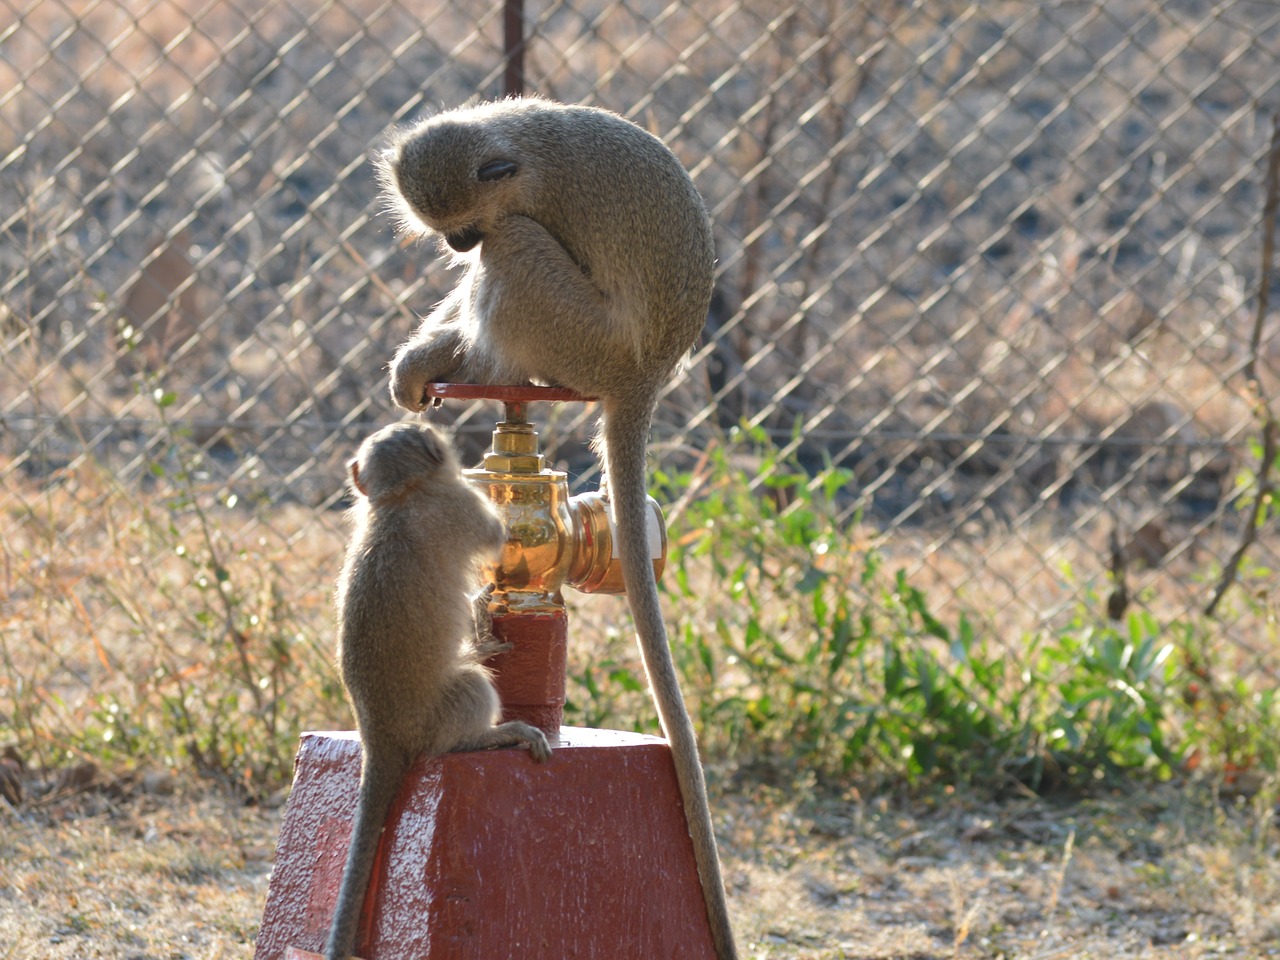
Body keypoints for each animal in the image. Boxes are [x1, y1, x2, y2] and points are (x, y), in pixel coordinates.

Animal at [325, 419, 550, 960]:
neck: (401, 496)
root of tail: (379, 735)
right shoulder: (458, 503)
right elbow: (498, 537)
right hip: (443, 713)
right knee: (469, 694)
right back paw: (493, 734)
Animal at [376, 97, 742, 960]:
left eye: (461, 223)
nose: (456, 245)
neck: (518, 142)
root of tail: (643, 373)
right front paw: (421, 358)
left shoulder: (530, 206)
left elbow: (506, 241)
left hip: (581, 339)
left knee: (513, 256)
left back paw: (497, 365)